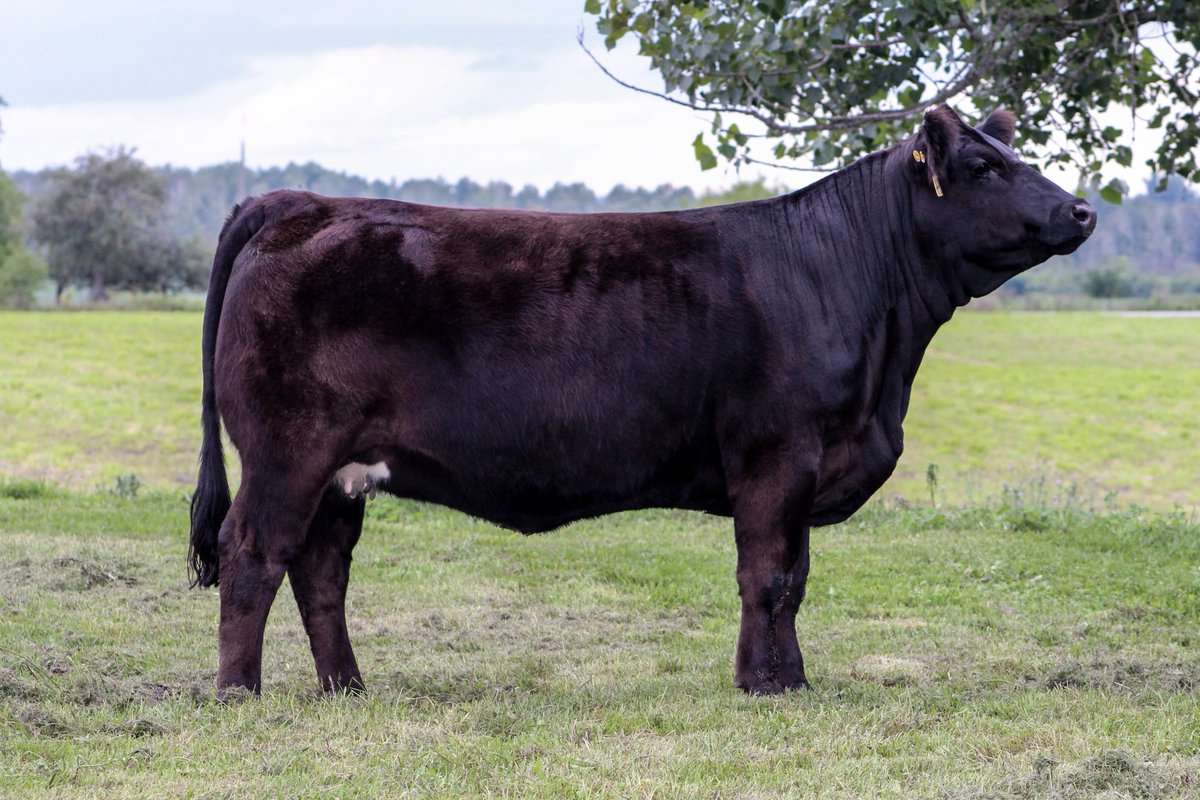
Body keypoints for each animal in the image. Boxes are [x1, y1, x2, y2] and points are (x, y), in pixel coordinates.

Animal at [189, 105, 1095, 696]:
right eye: (983, 168)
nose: (1082, 209)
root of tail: (297, 202)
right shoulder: (777, 453)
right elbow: (768, 575)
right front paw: (763, 686)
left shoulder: (801, 466)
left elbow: (795, 577)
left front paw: (792, 680)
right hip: (287, 450)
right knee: (253, 553)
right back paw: (240, 691)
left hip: (340, 470)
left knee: (320, 569)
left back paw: (347, 686)